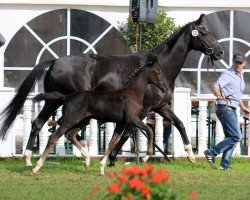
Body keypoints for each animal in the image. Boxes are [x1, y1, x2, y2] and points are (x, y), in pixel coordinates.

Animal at [31, 59, 168, 175]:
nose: (165, 88)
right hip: (70, 121)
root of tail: (67, 97)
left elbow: (112, 142)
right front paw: (146, 157)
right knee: (54, 137)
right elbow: (149, 130)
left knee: (70, 134)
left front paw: (102, 168)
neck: (133, 92)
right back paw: (36, 167)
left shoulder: (121, 123)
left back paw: (87, 160)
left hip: (82, 121)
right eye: (157, 72)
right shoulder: (132, 119)